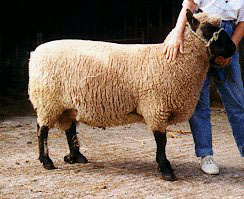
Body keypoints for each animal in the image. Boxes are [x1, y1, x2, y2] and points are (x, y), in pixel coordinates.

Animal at [27, 10, 235, 181]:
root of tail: (35, 53)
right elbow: (162, 141)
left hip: (67, 105)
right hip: (48, 101)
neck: (171, 61)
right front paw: (166, 169)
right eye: (208, 29)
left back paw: (76, 157)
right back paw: (46, 161)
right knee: (42, 129)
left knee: (69, 129)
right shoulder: (156, 107)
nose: (233, 48)